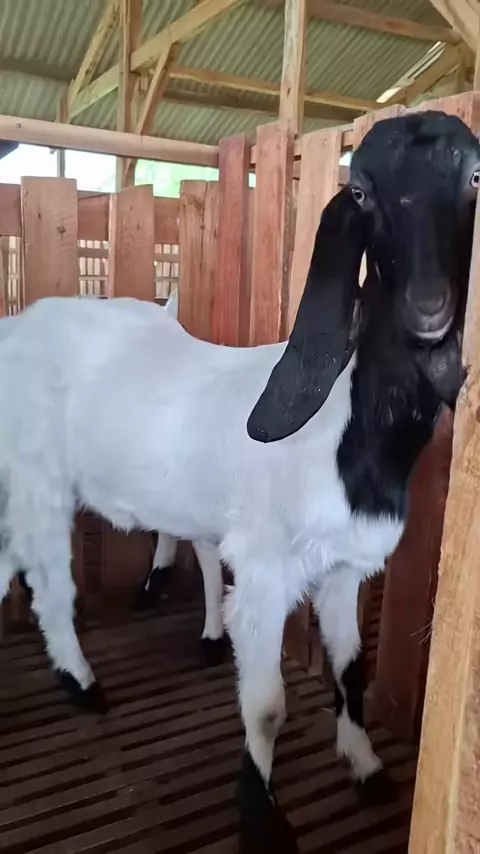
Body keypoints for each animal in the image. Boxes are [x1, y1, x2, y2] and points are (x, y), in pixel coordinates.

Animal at [0, 110, 476, 853]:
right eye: (362, 193)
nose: (429, 308)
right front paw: (260, 813)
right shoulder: (264, 572)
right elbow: (269, 705)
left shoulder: (344, 570)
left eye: (476, 177)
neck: (349, 429)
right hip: (38, 478)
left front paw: (366, 765)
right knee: (49, 584)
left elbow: (350, 667)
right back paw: (83, 683)